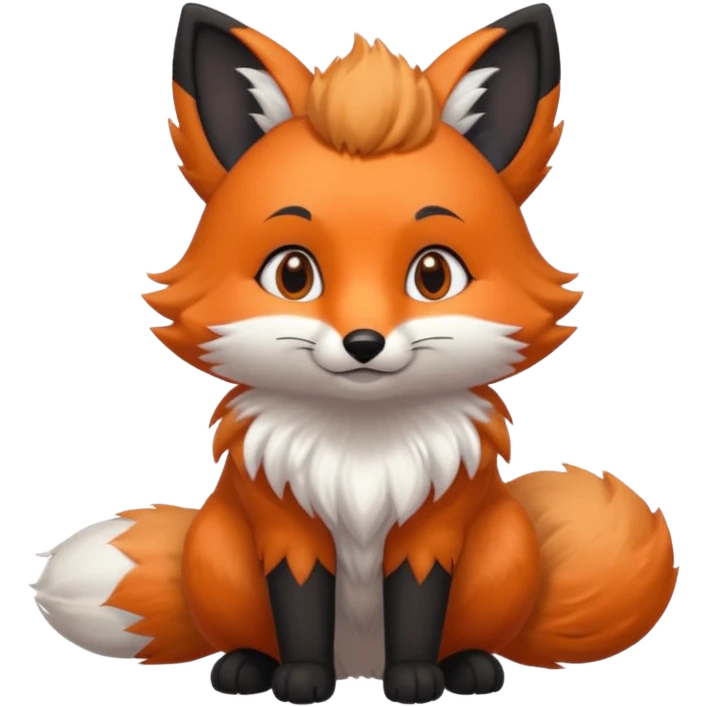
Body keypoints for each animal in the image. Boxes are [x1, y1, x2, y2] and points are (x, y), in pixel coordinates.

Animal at [31, 2, 678, 704]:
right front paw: (301, 680)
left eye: (432, 276)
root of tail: (360, 667)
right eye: (293, 275)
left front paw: (417, 680)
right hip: (217, 547)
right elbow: (300, 609)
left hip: (505, 545)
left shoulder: (431, 532)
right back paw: (247, 666)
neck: (362, 450)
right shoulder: (287, 529)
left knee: (471, 633)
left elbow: (418, 609)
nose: (363, 343)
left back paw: (468, 666)